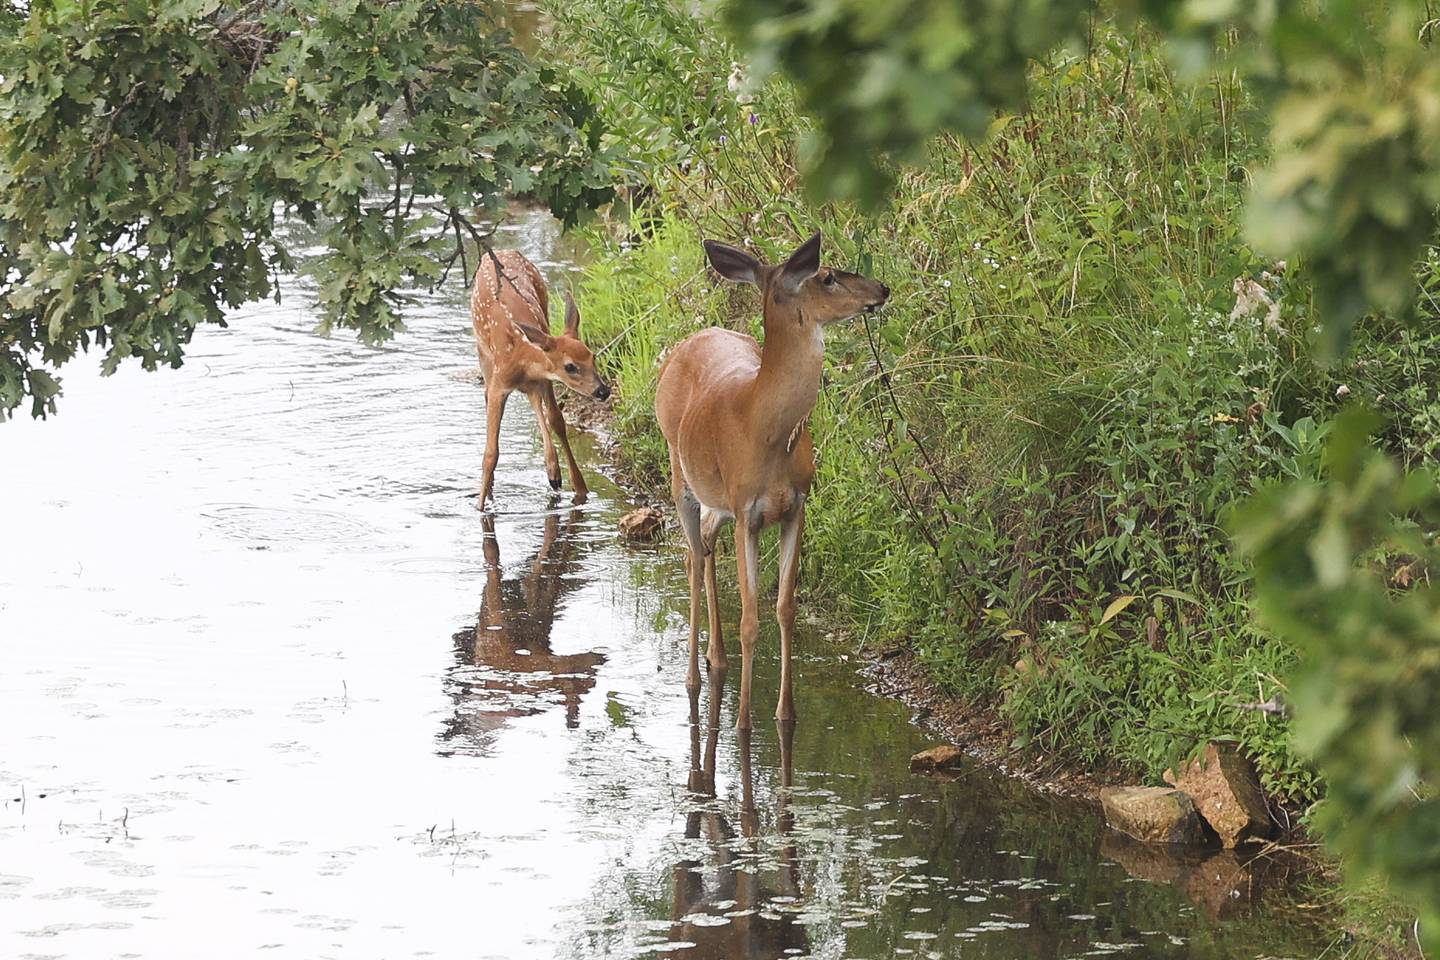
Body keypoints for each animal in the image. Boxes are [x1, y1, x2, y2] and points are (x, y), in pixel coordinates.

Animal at [472, 250, 607, 509]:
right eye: (570, 366)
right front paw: (481, 506)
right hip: (483, 354)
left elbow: (557, 420)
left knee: (541, 408)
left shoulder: (544, 379)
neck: (521, 357)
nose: (603, 391)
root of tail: (499, 252)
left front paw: (580, 488)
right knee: (486, 395)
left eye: (592, 356)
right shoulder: (500, 385)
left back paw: (554, 472)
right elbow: (490, 453)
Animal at [656, 233, 881, 728]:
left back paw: (716, 658)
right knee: (692, 557)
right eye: (827, 276)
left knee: (705, 543)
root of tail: (689, 341)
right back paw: (694, 677)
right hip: (681, 472)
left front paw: (786, 713)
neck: (765, 429)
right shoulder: (748, 512)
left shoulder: (796, 506)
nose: (882, 288)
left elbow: (785, 609)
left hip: (718, 501)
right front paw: (742, 722)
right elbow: (750, 619)